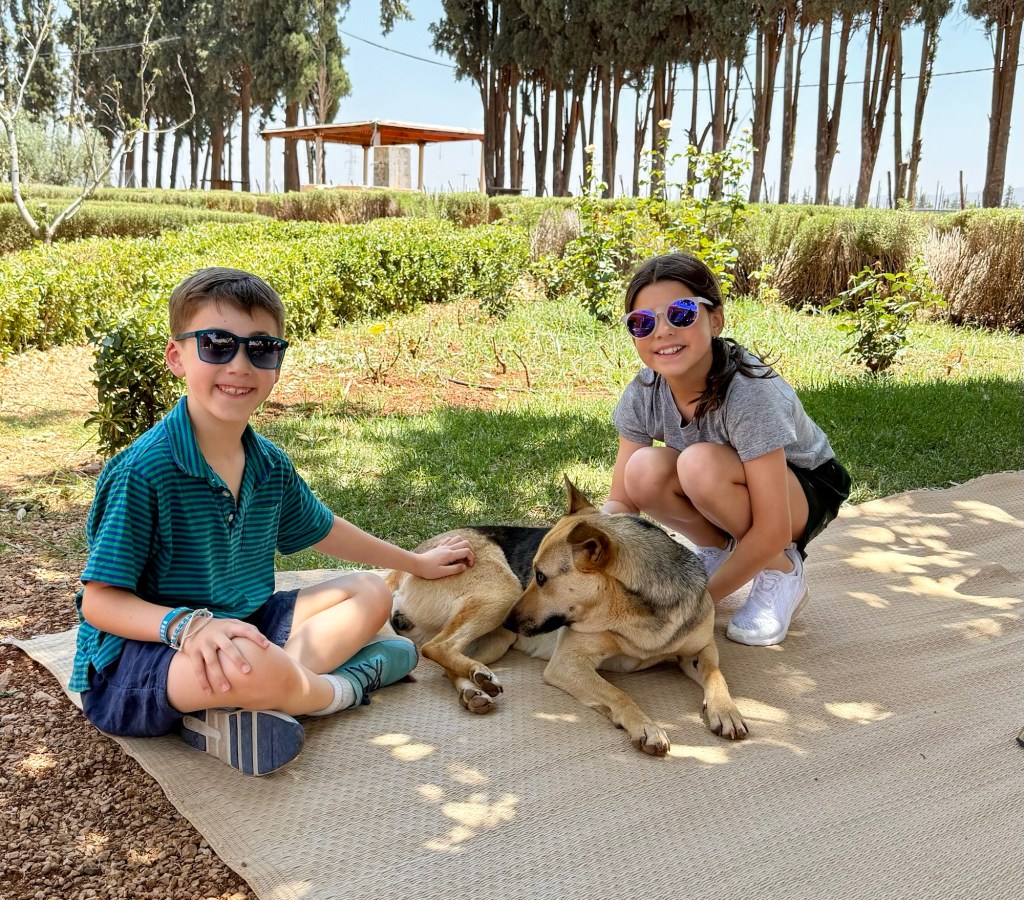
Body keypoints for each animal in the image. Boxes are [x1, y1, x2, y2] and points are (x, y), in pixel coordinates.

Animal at [387, 477, 748, 755]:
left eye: (541, 577)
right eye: (533, 572)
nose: (510, 620)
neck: (637, 616)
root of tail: (405, 564)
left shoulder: (699, 651)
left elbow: (716, 674)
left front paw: (726, 710)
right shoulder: (569, 663)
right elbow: (618, 693)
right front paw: (645, 726)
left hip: (497, 637)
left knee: (446, 659)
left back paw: (475, 688)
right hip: (501, 596)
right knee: (435, 647)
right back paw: (476, 678)